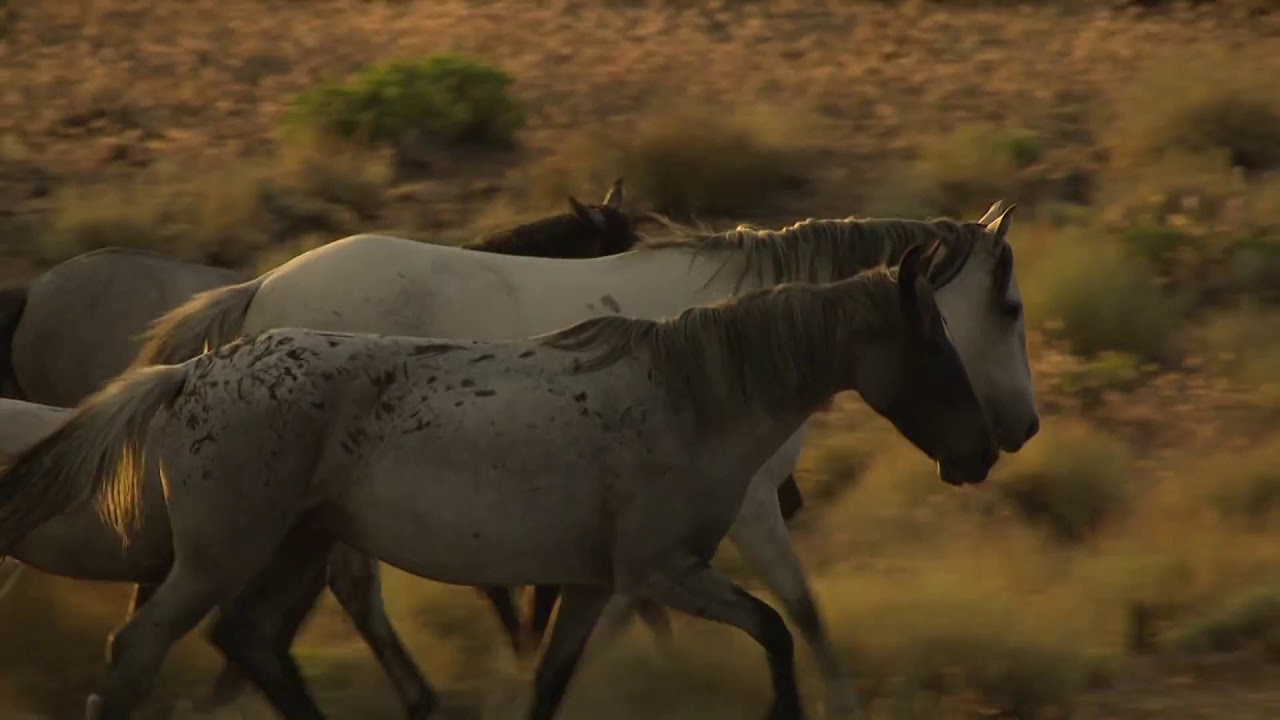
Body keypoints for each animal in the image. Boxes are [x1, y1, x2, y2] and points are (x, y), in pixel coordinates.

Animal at [0, 241, 999, 720]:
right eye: (937, 347)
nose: (983, 453)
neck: (691, 397)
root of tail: (192, 373)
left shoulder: (597, 586)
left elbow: (551, 684)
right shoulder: (663, 571)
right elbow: (777, 630)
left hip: (293, 549)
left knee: (251, 644)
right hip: (221, 557)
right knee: (141, 651)